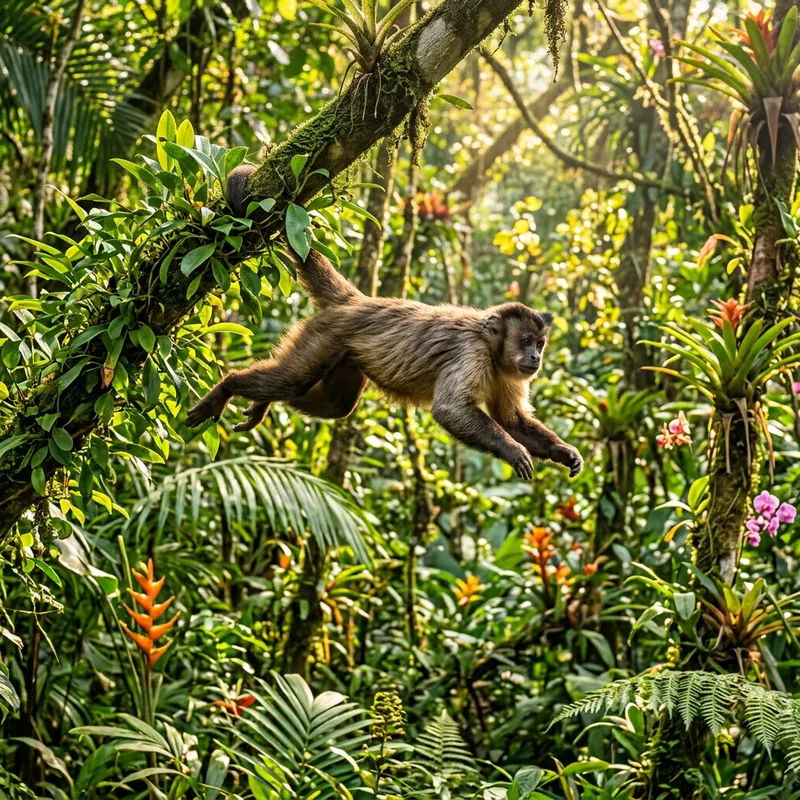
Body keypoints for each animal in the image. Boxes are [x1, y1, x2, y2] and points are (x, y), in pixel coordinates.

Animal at [186, 167, 583, 480]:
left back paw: (261, 403)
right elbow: (451, 410)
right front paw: (513, 451)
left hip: (345, 353)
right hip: (326, 334)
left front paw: (563, 453)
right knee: (295, 380)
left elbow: (512, 419)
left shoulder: (507, 372)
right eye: (526, 341)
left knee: (336, 405)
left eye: (539, 344)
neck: (492, 347)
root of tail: (358, 302)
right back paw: (229, 386)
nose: (535, 358)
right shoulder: (471, 353)